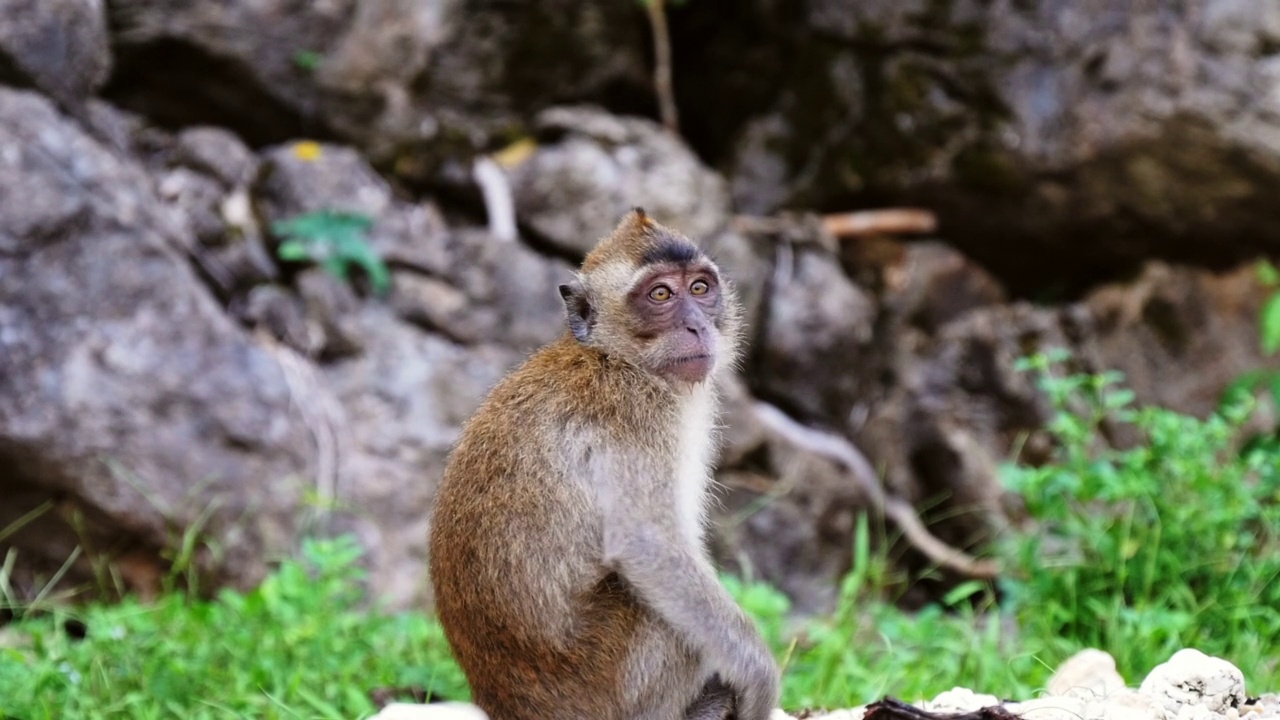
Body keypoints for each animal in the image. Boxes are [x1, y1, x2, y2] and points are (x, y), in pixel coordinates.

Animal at [427, 207, 778, 717]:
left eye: (699, 288)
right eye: (659, 294)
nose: (697, 325)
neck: (615, 357)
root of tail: (499, 703)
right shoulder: (636, 414)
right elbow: (646, 545)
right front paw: (758, 672)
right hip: (602, 684)